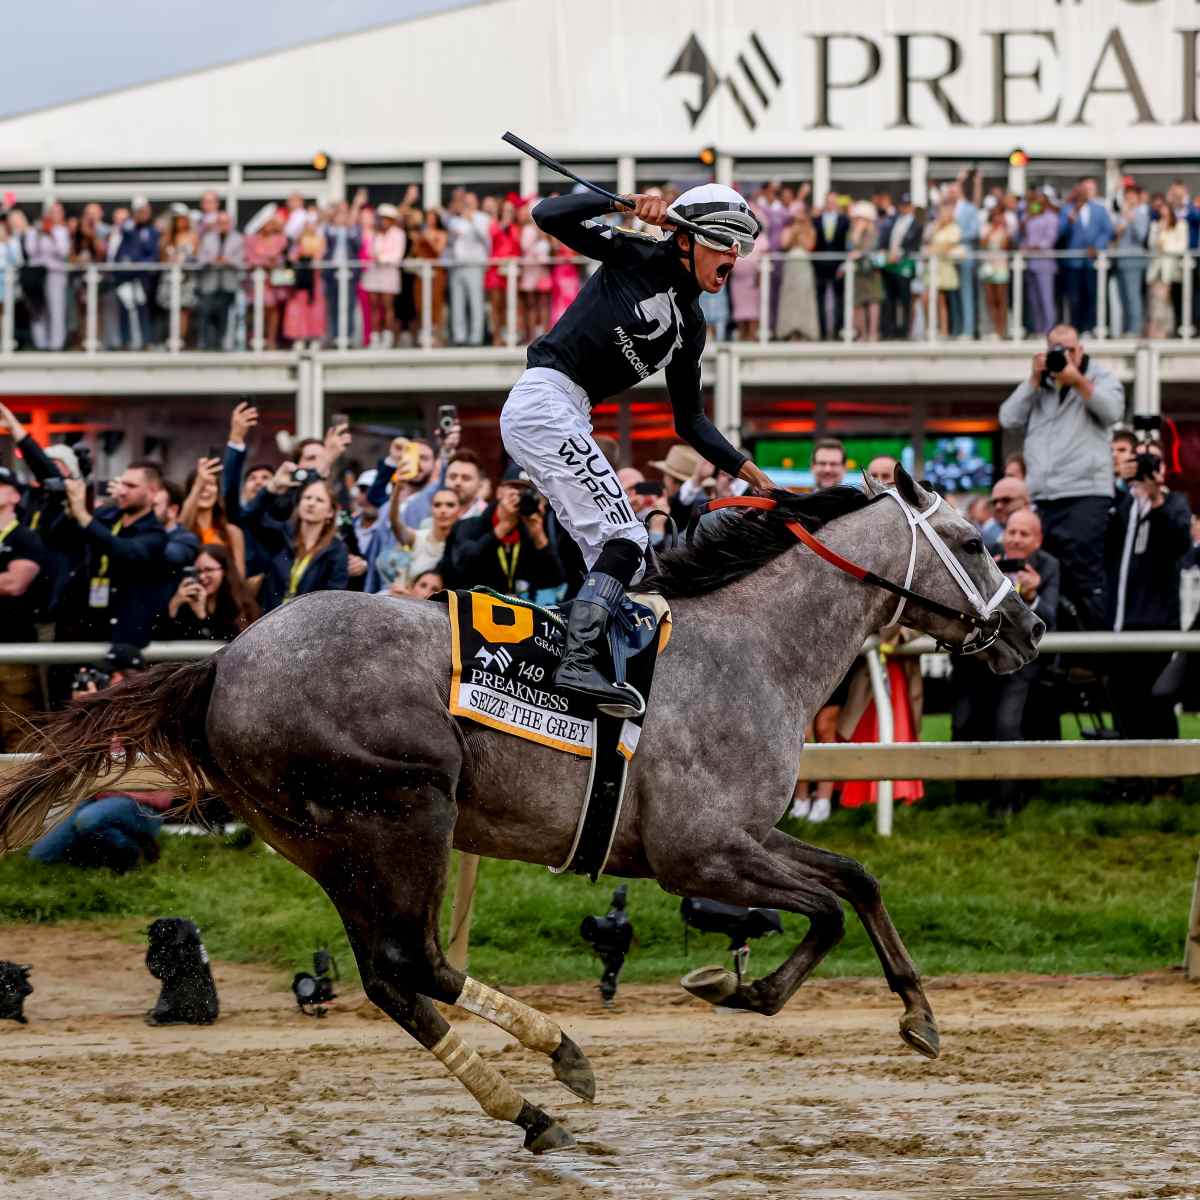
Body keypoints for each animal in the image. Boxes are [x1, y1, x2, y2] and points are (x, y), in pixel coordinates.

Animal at [0, 466, 1042, 1154]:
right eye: (975, 542)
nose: (1028, 628)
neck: (753, 649)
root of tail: (222, 662)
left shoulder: (743, 837)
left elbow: (855, 878)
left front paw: (917, 1012)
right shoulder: (701, 851)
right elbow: (823, 908)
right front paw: (742, 987)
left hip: (324, 841)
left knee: (393, 977)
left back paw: (537, 1096)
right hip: (403, 810)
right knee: (411, 962)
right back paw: (553, 1066)